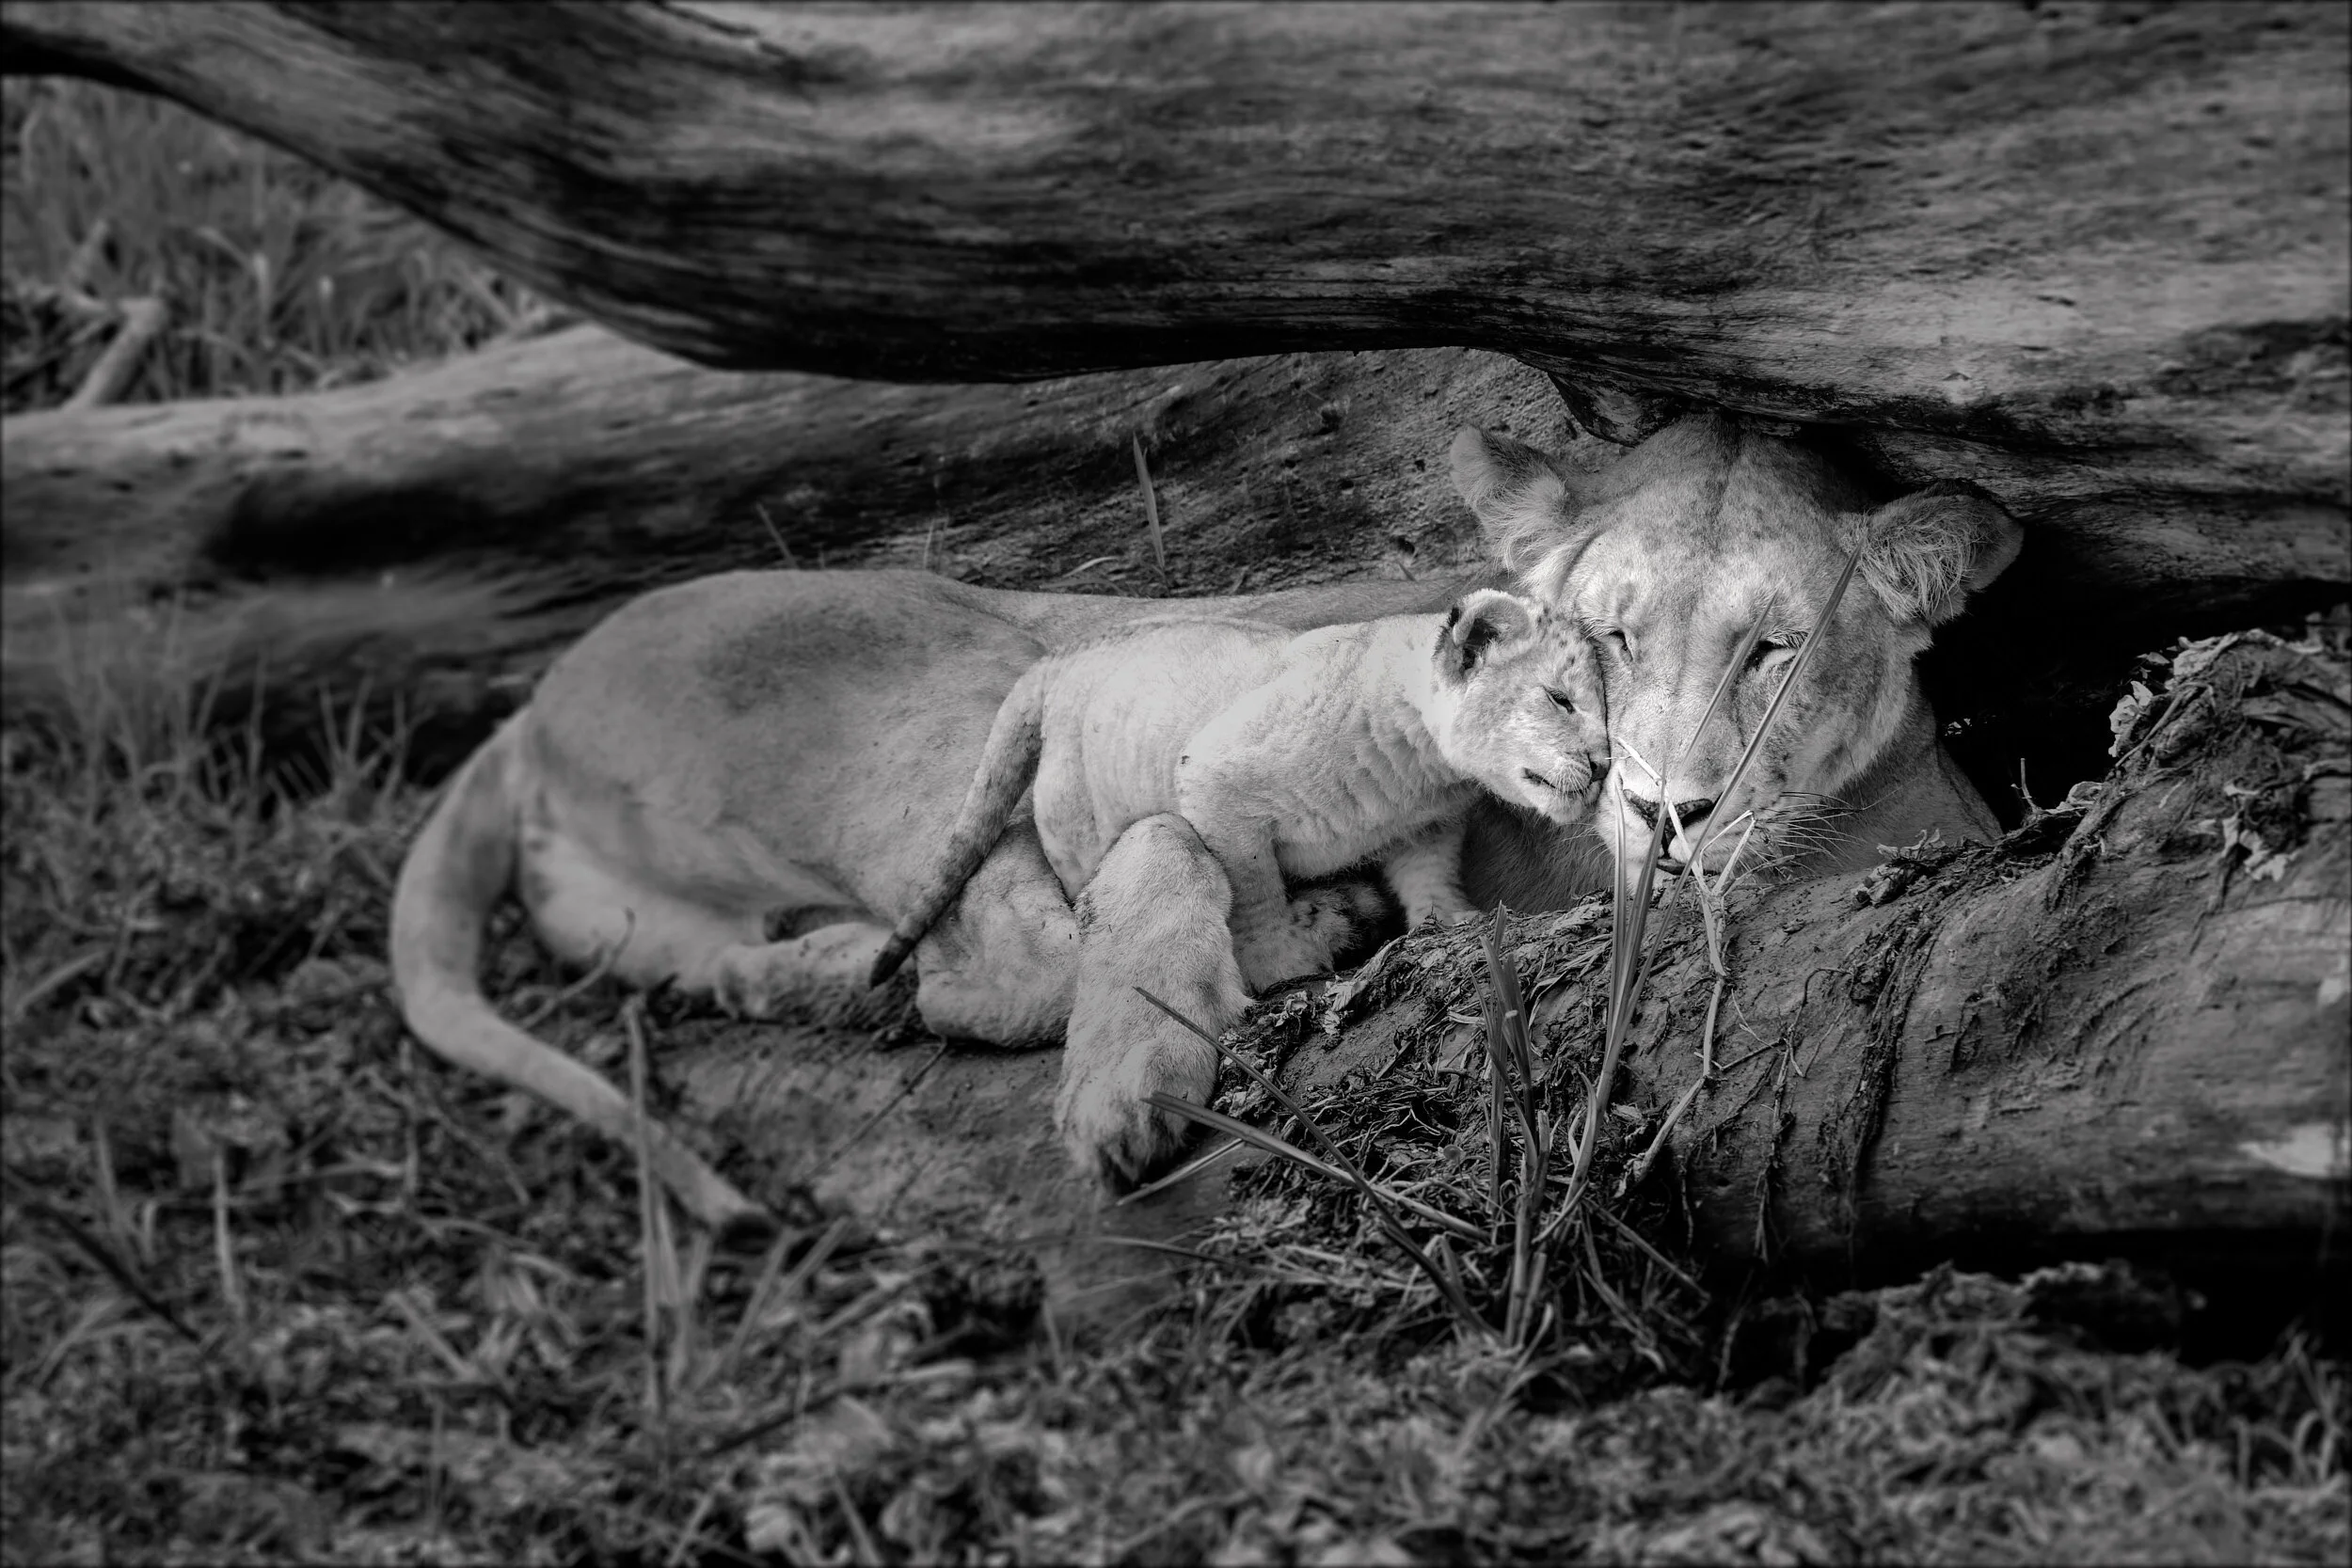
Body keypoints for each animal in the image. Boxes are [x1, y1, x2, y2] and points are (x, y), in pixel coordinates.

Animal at [869, 589, 1611, 1004]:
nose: (1604, 765)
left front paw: (1449, 921)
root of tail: (1058, 656)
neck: (1419, 766)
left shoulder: (1422, 826)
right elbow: (1252, 889)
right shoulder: (1215, 776)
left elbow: (1428, 875)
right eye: (1559, 699)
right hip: (1078, 819)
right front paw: (1281, 960)